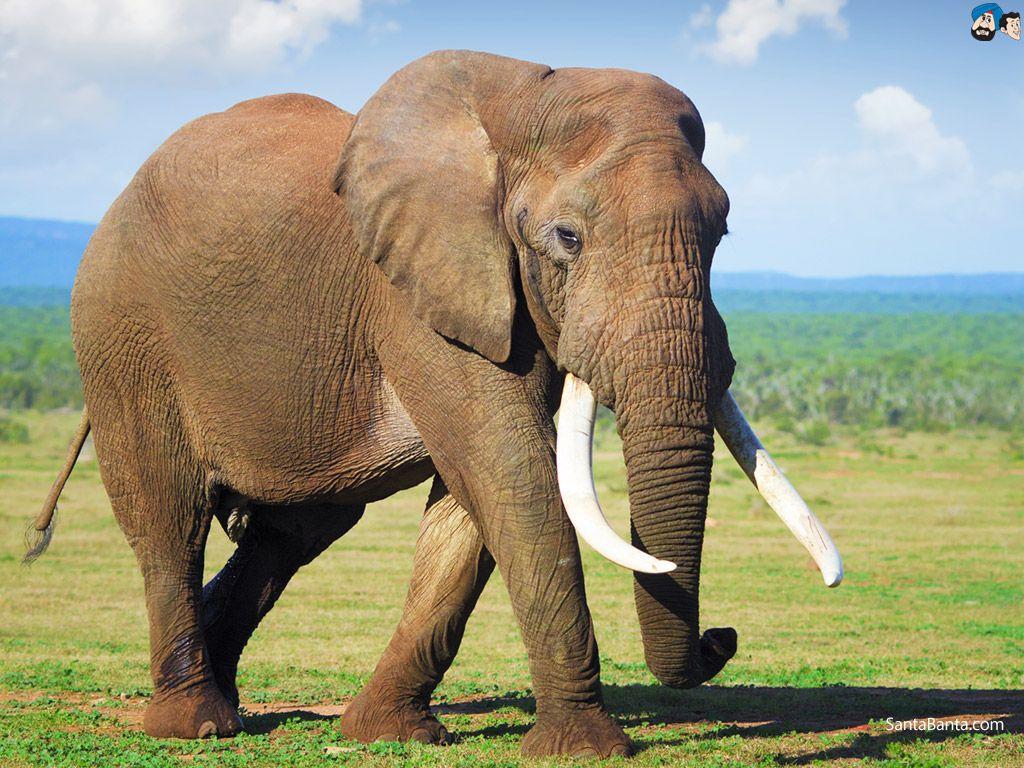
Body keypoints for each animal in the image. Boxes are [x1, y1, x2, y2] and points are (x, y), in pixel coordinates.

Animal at [29, 50, 842, 757]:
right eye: (567, 238)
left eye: (723, 232)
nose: (722, 639)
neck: (521, 99)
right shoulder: (418, 291)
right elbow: (508, 470)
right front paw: (584, 749)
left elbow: (472, 502)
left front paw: (388, 735)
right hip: (121, 337)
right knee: (170, 519)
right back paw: (194, 724)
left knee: (294, 531)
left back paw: (229, 701)